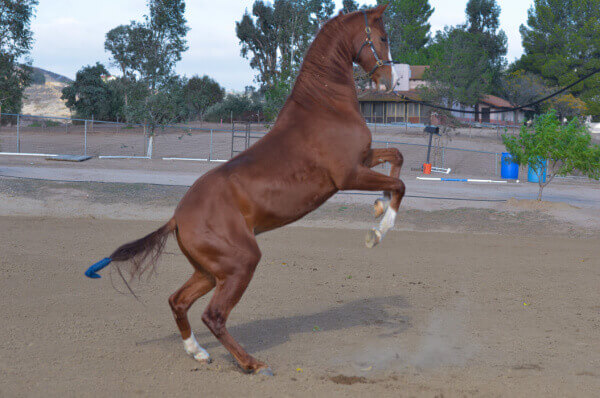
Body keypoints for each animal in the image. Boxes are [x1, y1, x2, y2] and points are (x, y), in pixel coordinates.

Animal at [86, 4, 406, 374]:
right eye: (382, 37)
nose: (389, 81)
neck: (325, 108)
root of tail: (178, 219)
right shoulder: (349, 175)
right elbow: (399, 184)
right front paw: (378, 230)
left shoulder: (364, 160)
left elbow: (397, 157)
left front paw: (379, 207)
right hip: (241, 264)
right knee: (213, 316)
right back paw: (252, 363)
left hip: (211, 272)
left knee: (178, 301)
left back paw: (198, 352)